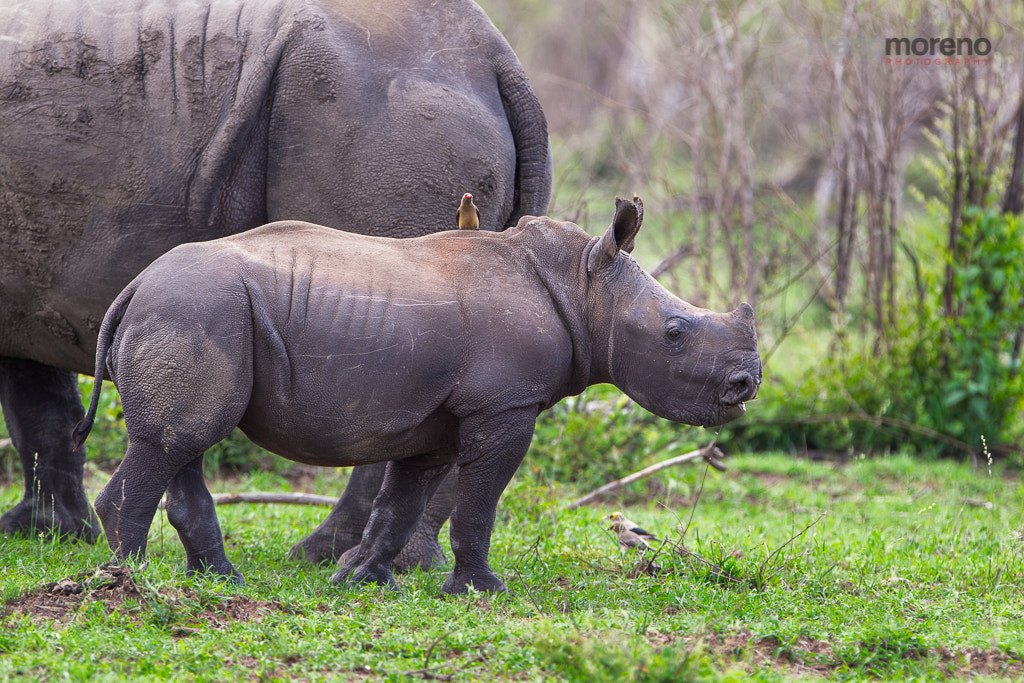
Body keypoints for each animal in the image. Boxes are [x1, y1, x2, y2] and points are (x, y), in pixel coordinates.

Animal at [0, 0, 551, 568]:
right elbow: (38, 406)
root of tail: (500, 63)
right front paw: (47, 533)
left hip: (376, 115)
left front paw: (40, 534)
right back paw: (395, 561)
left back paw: (325, 556)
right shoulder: (28, 291)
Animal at [74, 197, 761, 595]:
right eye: (674, 332)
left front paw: (362, 581)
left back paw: (222, 581)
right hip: (193, 309)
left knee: (186, 440)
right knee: (173, 442)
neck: (583, 288)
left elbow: (401, 502)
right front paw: (483, 590)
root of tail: (132, 289)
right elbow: (479, 504)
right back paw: (131, 579)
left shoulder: (436, 421)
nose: (746, 385)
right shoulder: (505, 405)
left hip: (196, 311)